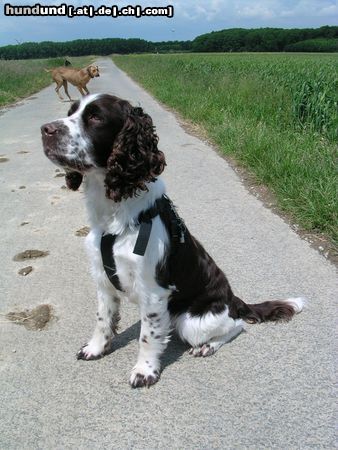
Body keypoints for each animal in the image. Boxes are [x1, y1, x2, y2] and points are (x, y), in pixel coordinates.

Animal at [40, 94, 306, 386]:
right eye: (71, 111)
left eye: (96, 117)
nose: (45, 130)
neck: (116, 215)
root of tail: (233, 299)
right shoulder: (103, 279)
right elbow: (102, 319)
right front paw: (96, 348)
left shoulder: (154, 291)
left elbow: (147, 336)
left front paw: (144, 371)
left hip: (191, 321)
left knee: (236, 325)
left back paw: (207, 346)